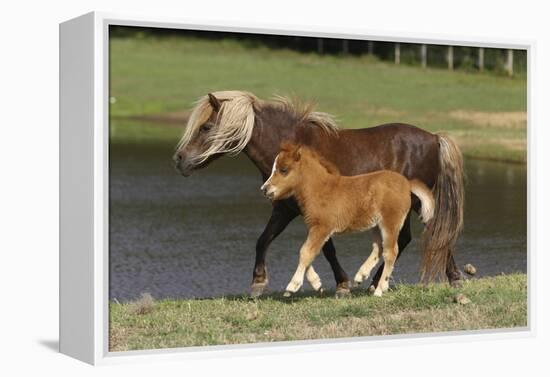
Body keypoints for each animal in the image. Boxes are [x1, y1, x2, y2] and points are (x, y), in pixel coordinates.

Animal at [262, 142, 436, 296]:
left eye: (284, 170)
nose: (264, 189)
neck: (320, 189)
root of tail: (407, 183)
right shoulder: (315, 228)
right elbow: (308, 251)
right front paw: (317, 283)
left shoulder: (322, 227)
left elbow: (306, 252)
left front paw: (292, 286)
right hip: (376, 225)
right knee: (378, 248)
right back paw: (361, 276)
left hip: (390, 222)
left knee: (390, 251)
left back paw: (379, 290)